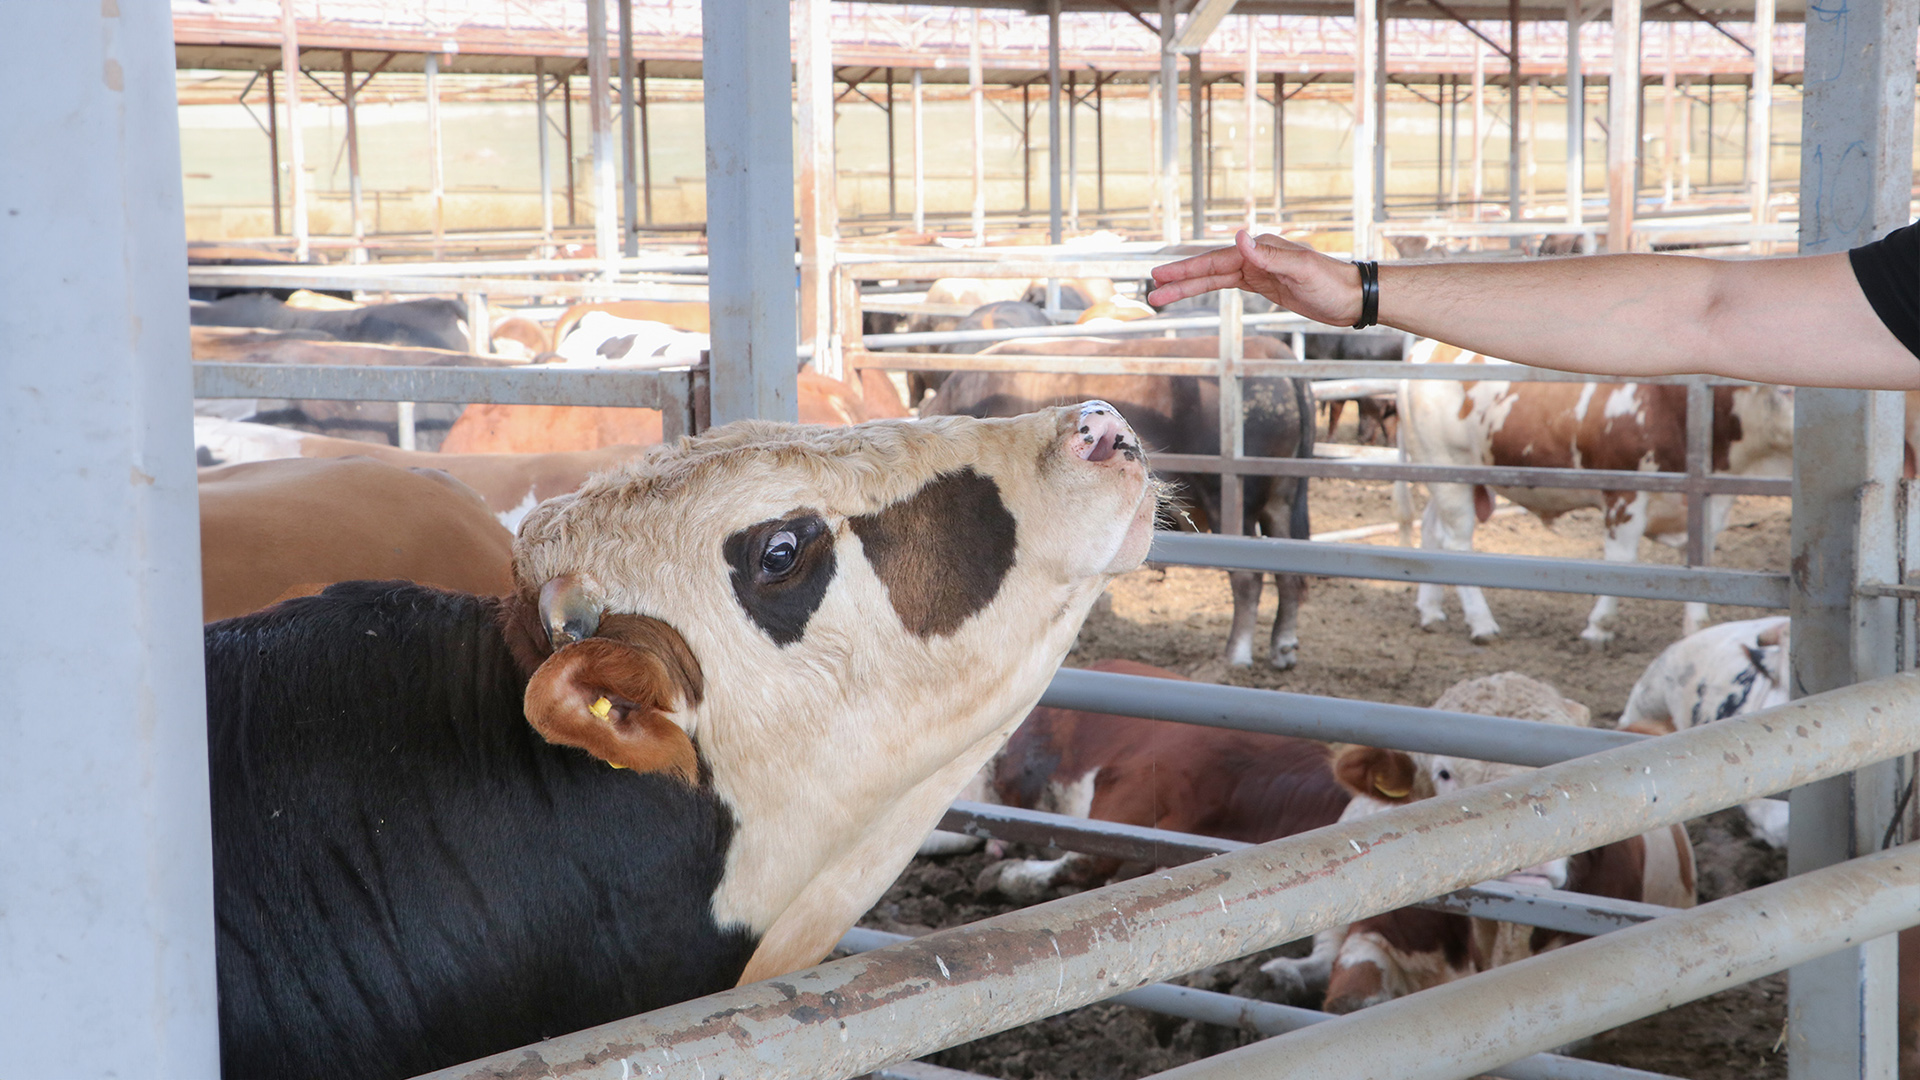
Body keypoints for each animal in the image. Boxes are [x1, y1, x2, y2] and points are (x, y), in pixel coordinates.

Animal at [1397, 338, 1781, 638]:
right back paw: (1481, 623)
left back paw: (1431, 611)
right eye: (1783, 389)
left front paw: (1696, 629)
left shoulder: (1709, 501)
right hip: (1448, 469)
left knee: (1432, 531)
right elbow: (1622, 560)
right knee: (1457, 543)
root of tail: (1423, 351)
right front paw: (1599, 627)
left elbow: (1700, 564)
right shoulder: (1624, 492)